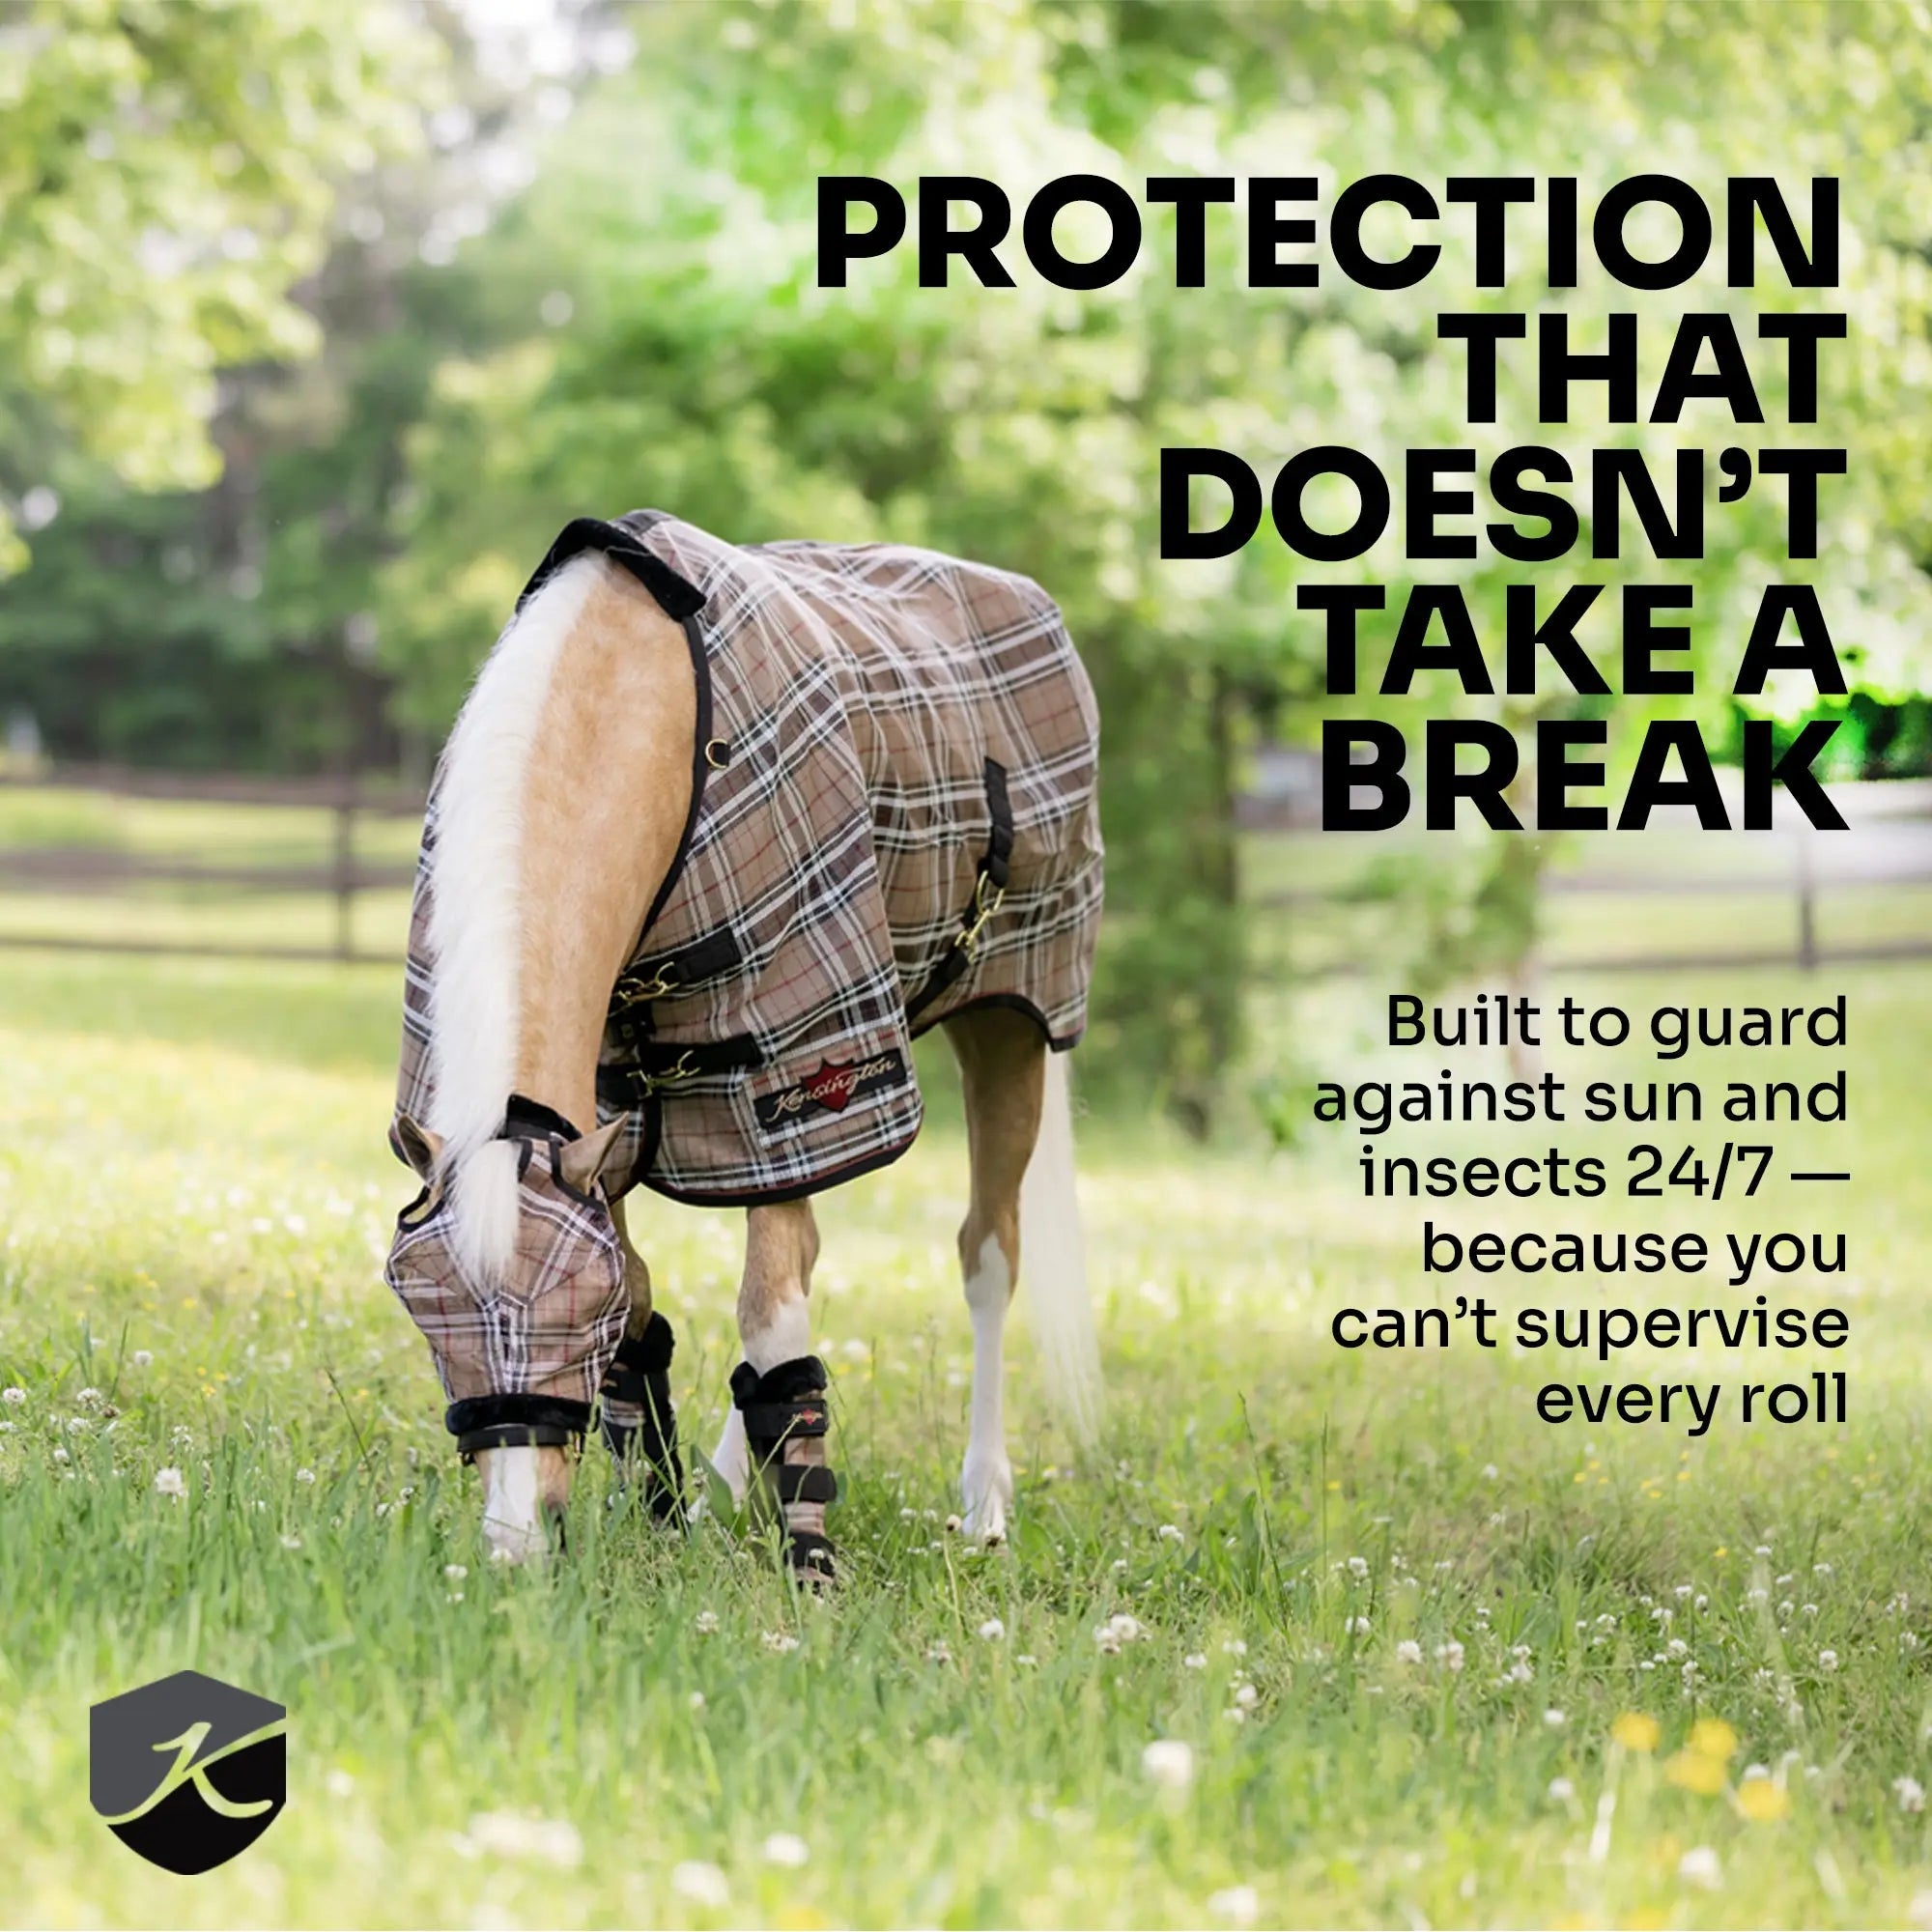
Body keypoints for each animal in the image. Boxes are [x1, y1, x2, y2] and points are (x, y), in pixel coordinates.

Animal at [383, 512, 1105, 1570]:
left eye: (573, 1316)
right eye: (425, 1311)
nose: (514, 1542)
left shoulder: (785, 1060)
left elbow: (771, 1314)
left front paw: (807, 1553)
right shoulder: (607, 1108)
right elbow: (661, 1305)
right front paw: (655, 1513)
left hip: (1003, 1024)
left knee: (985, 1255)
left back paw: (981, 1505)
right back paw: (725, 1484)